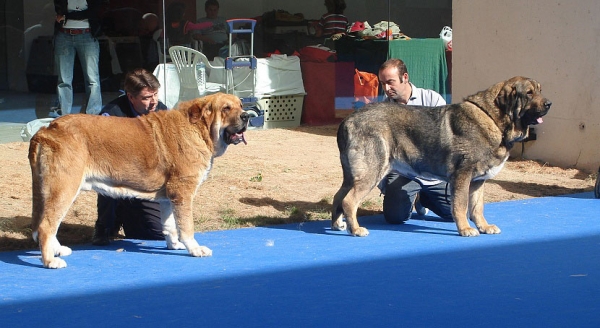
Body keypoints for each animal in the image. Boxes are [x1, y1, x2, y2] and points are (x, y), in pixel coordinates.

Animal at [27, 93, 248, 270]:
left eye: (241, 105)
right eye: (226, 108)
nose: (247, 116)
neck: (199, 130)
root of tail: (46, 129)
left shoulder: (169, 198)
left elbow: (169, 225)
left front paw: (174, 245)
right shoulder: (182, 192)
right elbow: (186, 226)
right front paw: (194, 249)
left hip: (50, 190)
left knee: (44, 225)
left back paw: (57, 250)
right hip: (64, 188)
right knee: (46, 226)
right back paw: (50, 261)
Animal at [330, 76, 552, 237]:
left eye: (540, 90)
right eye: (529, 93)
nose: (549, 103)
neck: (494, 118)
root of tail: (348, 120)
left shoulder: (477, 181)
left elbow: (477, 207)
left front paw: (484, 226)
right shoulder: (462, 175)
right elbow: (461, 205)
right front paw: (465, 229)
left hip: (351, 175)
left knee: (338, 196)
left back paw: (337, 225)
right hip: (372, 171)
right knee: (349, 201)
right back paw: (355, 229)